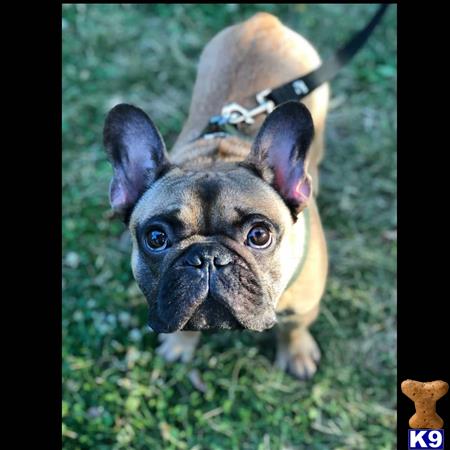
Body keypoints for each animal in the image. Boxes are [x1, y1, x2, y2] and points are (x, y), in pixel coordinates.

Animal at [105, 12, 330, 378]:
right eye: (156, 238)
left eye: (260, 235)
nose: (207, 257)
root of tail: (263, 20)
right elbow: (184, 323)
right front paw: (181, 346)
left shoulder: (304, 305)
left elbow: (295, 327)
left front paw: (296, 353)